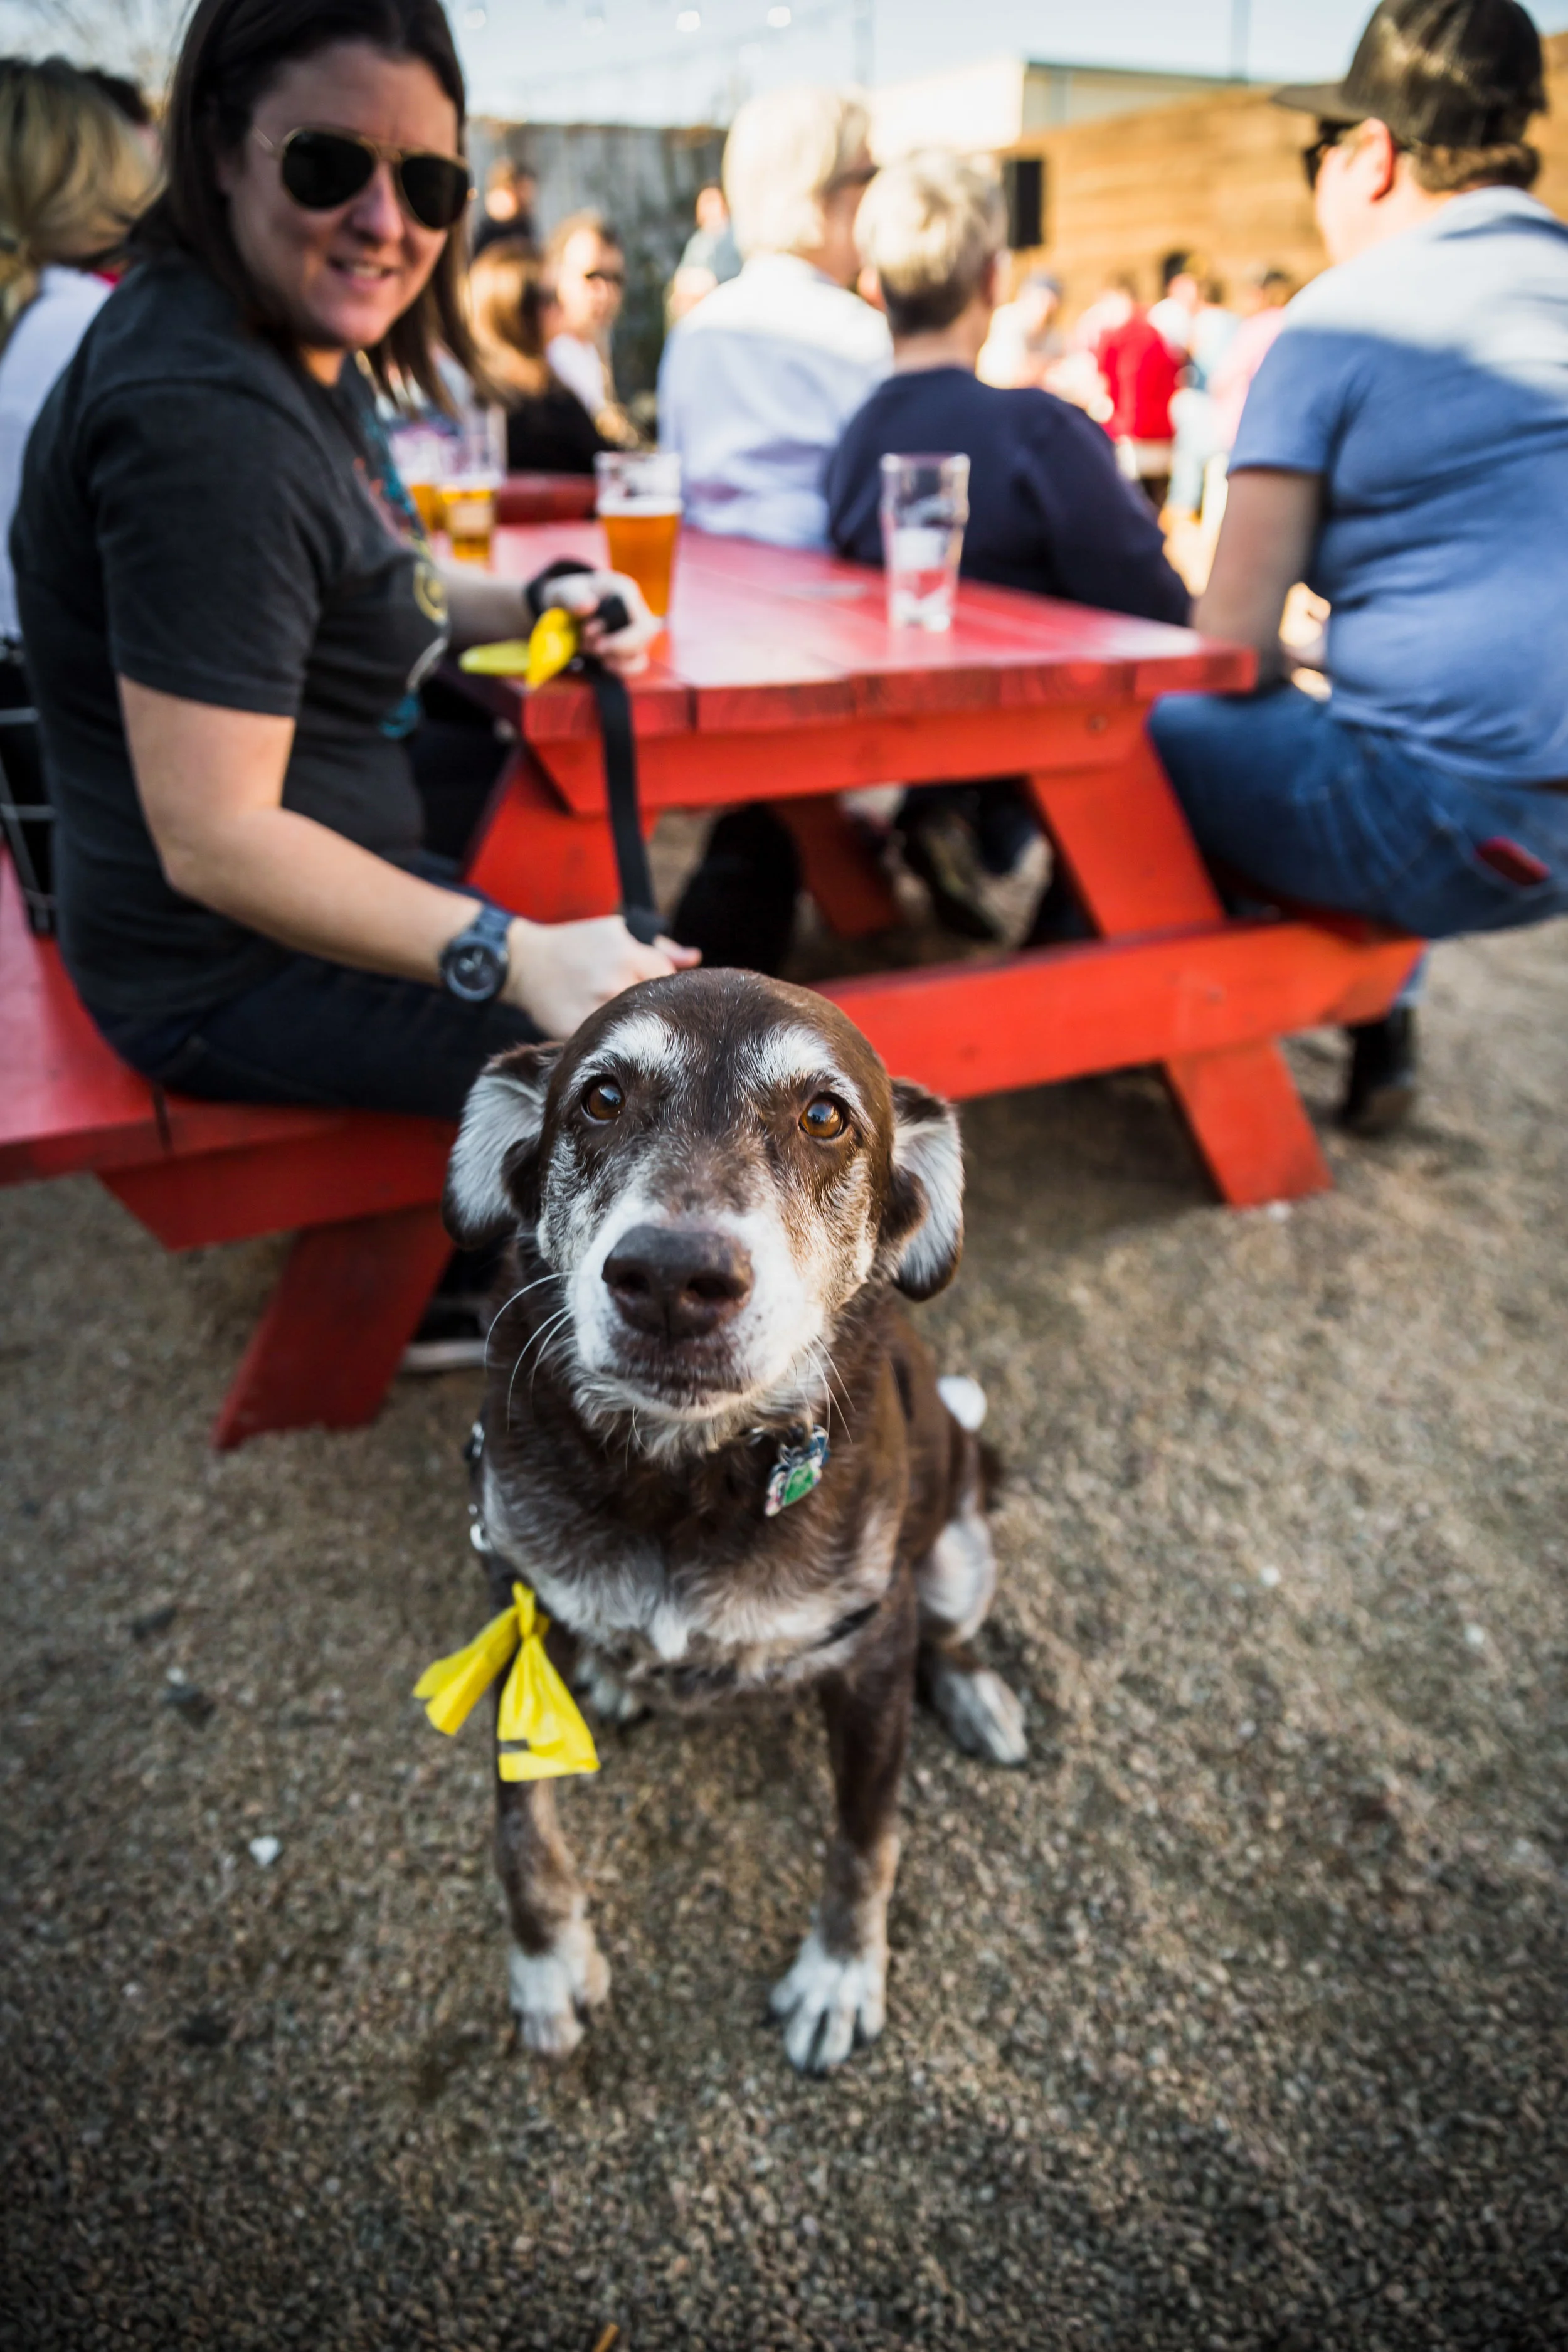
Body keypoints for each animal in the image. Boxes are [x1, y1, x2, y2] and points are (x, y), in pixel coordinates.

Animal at [447, 964, 1025, 2070]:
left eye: (825, 1116)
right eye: (601, 1097)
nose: (673, 1277)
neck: (682, 1478)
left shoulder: (874, 1645)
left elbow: (864, 1836)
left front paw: (839, 1973)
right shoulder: (516, 1599)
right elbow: (515, 1819)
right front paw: (545, 1959)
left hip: (960, 1554)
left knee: (952, 1630)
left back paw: (978, 1693)